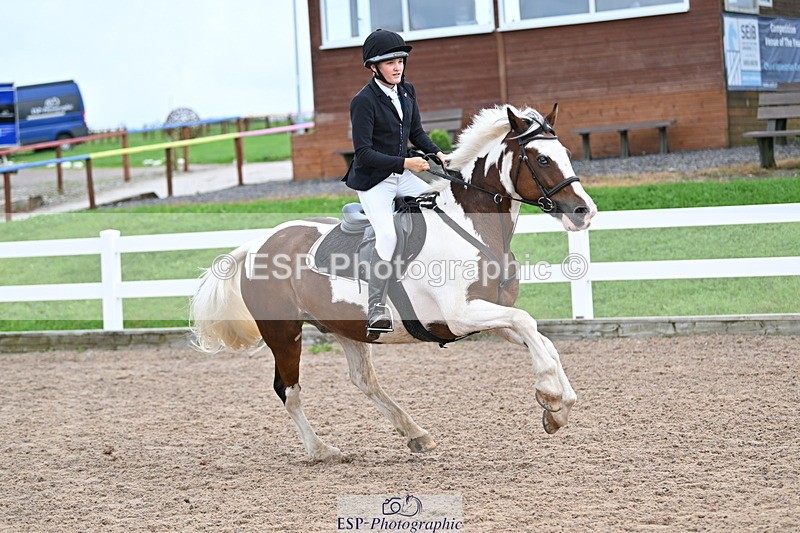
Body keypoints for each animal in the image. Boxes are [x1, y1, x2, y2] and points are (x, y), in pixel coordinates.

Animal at [191, 104, 597, 461]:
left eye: (564, 153)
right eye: (542, 160)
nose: (585, 212)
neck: (471, 226)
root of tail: (258, 244)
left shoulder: (490, 315)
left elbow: (540, 338)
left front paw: (559, 407)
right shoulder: (461, 315)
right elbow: (528, 323)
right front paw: (550, 395)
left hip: (345, 327)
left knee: (364, 381)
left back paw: (416, 434)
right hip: (284, 333)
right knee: (288, 391)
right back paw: (321, 450)